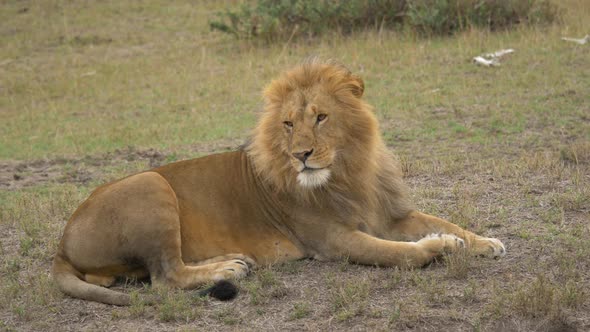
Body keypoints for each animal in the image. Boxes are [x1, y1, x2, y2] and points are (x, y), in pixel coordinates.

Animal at [52, 60, 504, 306]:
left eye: (320, 117)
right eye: (288, 124)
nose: (301, 154)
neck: (348, 171)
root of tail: (61, 244)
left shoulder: (390, 215)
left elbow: (441, 220)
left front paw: (483, 241)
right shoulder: (332, 241)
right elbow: (402, 254)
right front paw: (443, 247)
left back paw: (232, 262)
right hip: (149, 183)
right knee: (165, 276)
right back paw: (228, 268)